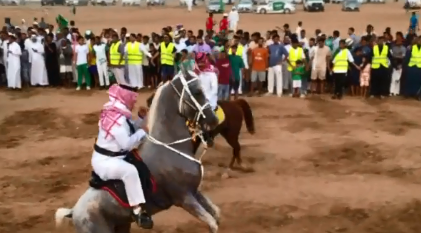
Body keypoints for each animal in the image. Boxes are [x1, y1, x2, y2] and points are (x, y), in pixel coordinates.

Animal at [53, 69, 220, 233]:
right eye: (197, 92)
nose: (214, 120)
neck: (171, 148)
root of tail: (73, 211)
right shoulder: (184, 198)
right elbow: (212, 223)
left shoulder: (194, 191)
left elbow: (216, 214)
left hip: (122, 226)